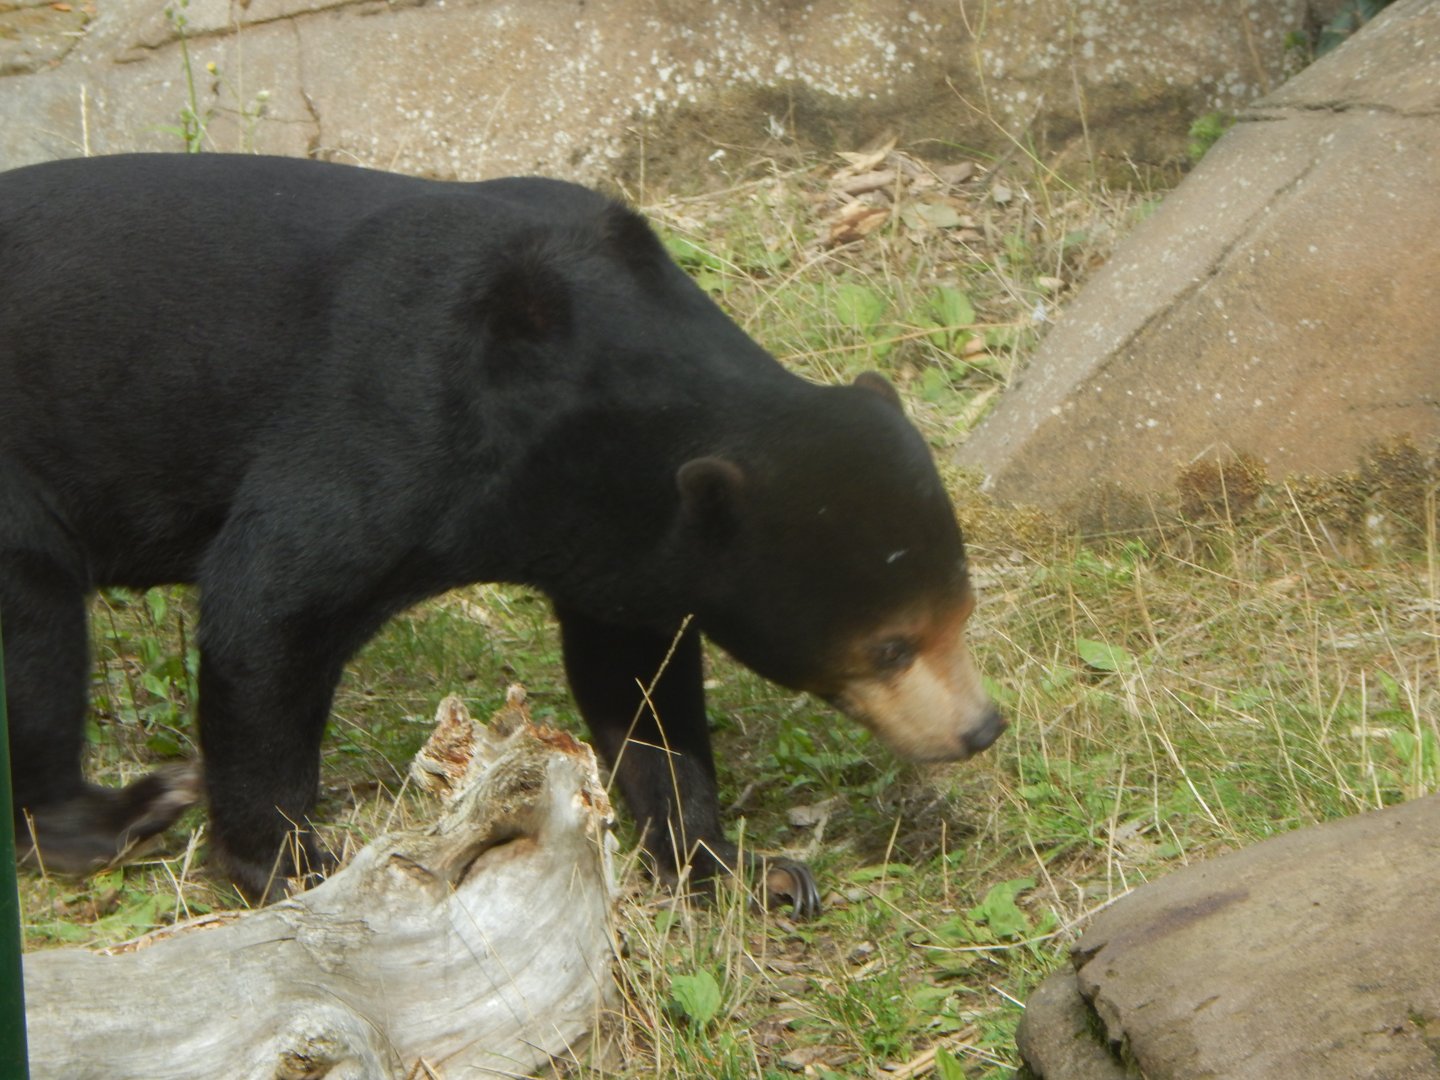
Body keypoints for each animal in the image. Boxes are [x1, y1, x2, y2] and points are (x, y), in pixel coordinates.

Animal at [0, 153, 1004, 912]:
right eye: (889, 647)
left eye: (964, 612)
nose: (980, 729)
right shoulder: (396, 415)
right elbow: (268, 601)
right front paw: (292, 866)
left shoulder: (623, 538)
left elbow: (637, 689)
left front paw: (749, 874)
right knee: (36, 630)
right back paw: (115, 815)